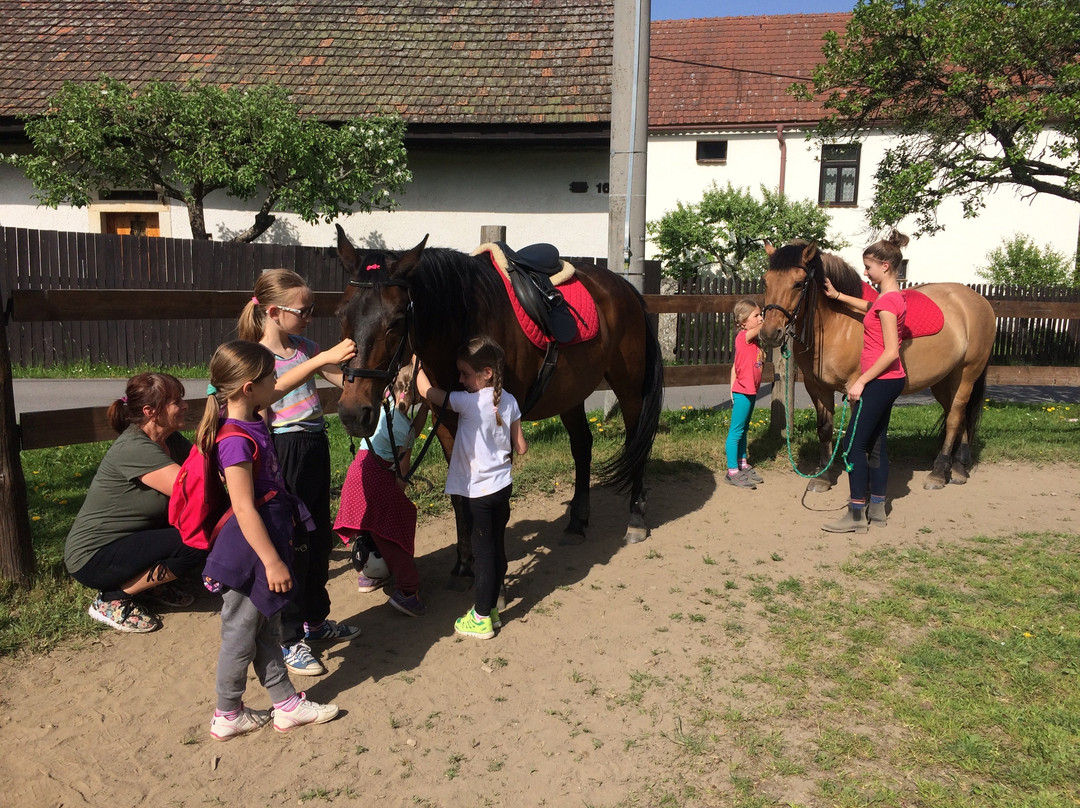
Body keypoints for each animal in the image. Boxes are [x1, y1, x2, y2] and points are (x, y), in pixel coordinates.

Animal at [332, 226, 660, 587]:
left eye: (396, 321)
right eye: (341, 315)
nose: (352, 413)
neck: (466, 323)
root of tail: (626, 289)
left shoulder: (501, 429)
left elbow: (495, 504)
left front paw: (494, 576)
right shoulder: (448, 423)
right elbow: (460, 497)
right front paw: (465, 563)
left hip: (628, 388)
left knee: (636, 443)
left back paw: (636, 519)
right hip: (571, 394)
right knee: (582, 446)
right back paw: (577, 523)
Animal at [760, 241, 993, 492]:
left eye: (798, 283)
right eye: (765, 281)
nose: (770, 334)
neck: (838, 323)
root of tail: (978, 300)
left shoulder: (856, 390)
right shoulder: (817, 387)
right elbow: (825, 428)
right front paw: (823, 477)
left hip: (967, 374)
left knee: (954, 418)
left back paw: (939, 473)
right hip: (944, 380)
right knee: (959, 416)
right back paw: (959, 468)